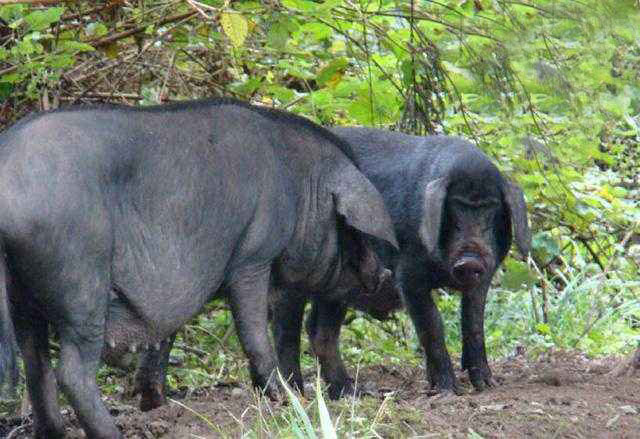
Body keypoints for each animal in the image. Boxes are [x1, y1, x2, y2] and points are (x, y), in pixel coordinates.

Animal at [0, 100, 396, 439]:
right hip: (81, 280)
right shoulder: (253, 256)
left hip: (22, 294)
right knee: (72, 372)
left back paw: (53, 432)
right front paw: (284, 397)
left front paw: (154, 403)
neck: (300, 186)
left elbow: (165, 332)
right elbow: (253, 329)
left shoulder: (175, 289)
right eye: (354, 232)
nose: (387, 278)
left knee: (35, 362)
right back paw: (112, 433)